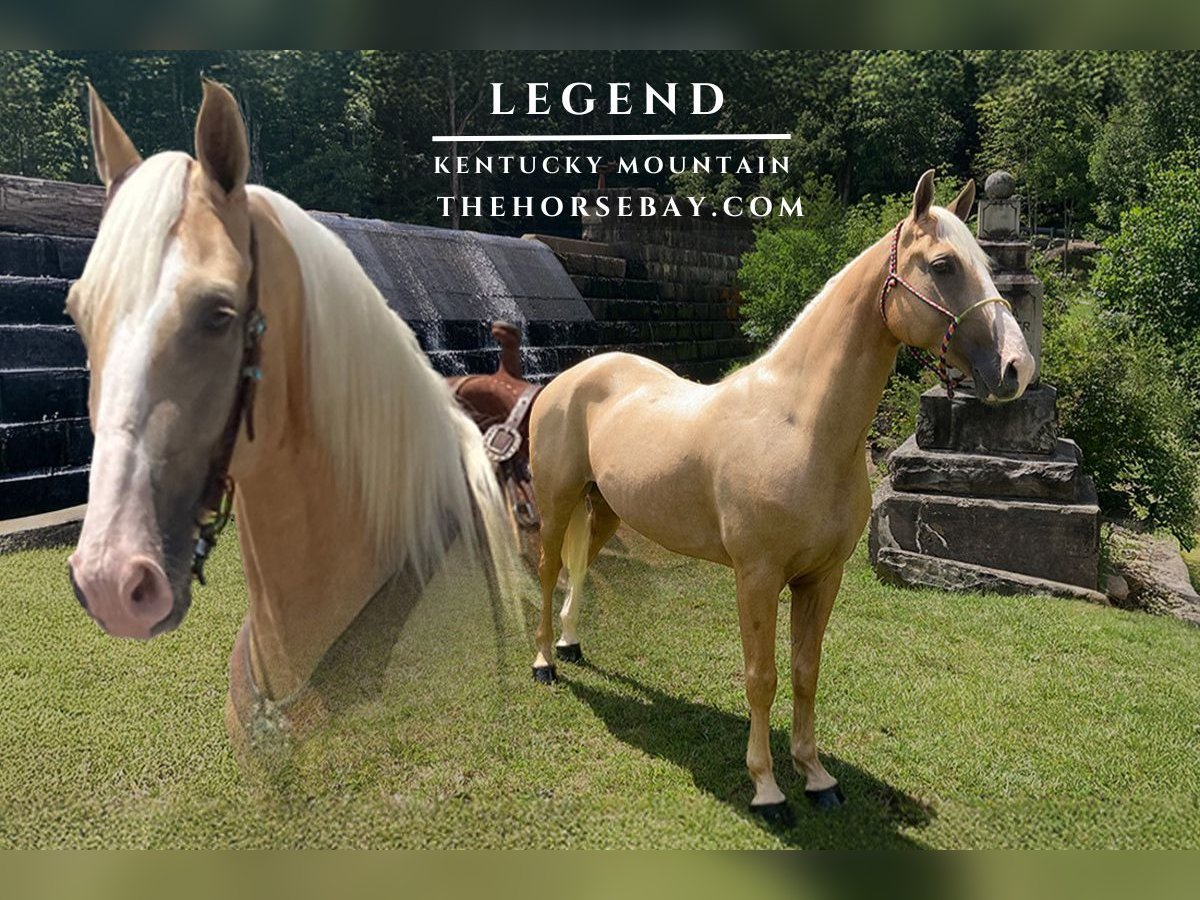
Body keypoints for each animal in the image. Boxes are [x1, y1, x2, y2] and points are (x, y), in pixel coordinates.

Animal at [527, 170, 1036, 824]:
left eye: (988, 265)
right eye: (944, 265)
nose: (1017, 367)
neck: (801, 425)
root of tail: (568, 379)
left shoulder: (822, 578)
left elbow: (805, 673)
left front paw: (816, 777)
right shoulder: (758, 576)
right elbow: (761, 678)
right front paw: (767, 788)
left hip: (607, 508)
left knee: (579, 567)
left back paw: (570, 643)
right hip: (556, 500)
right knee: (547, 570)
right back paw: (544, 662)